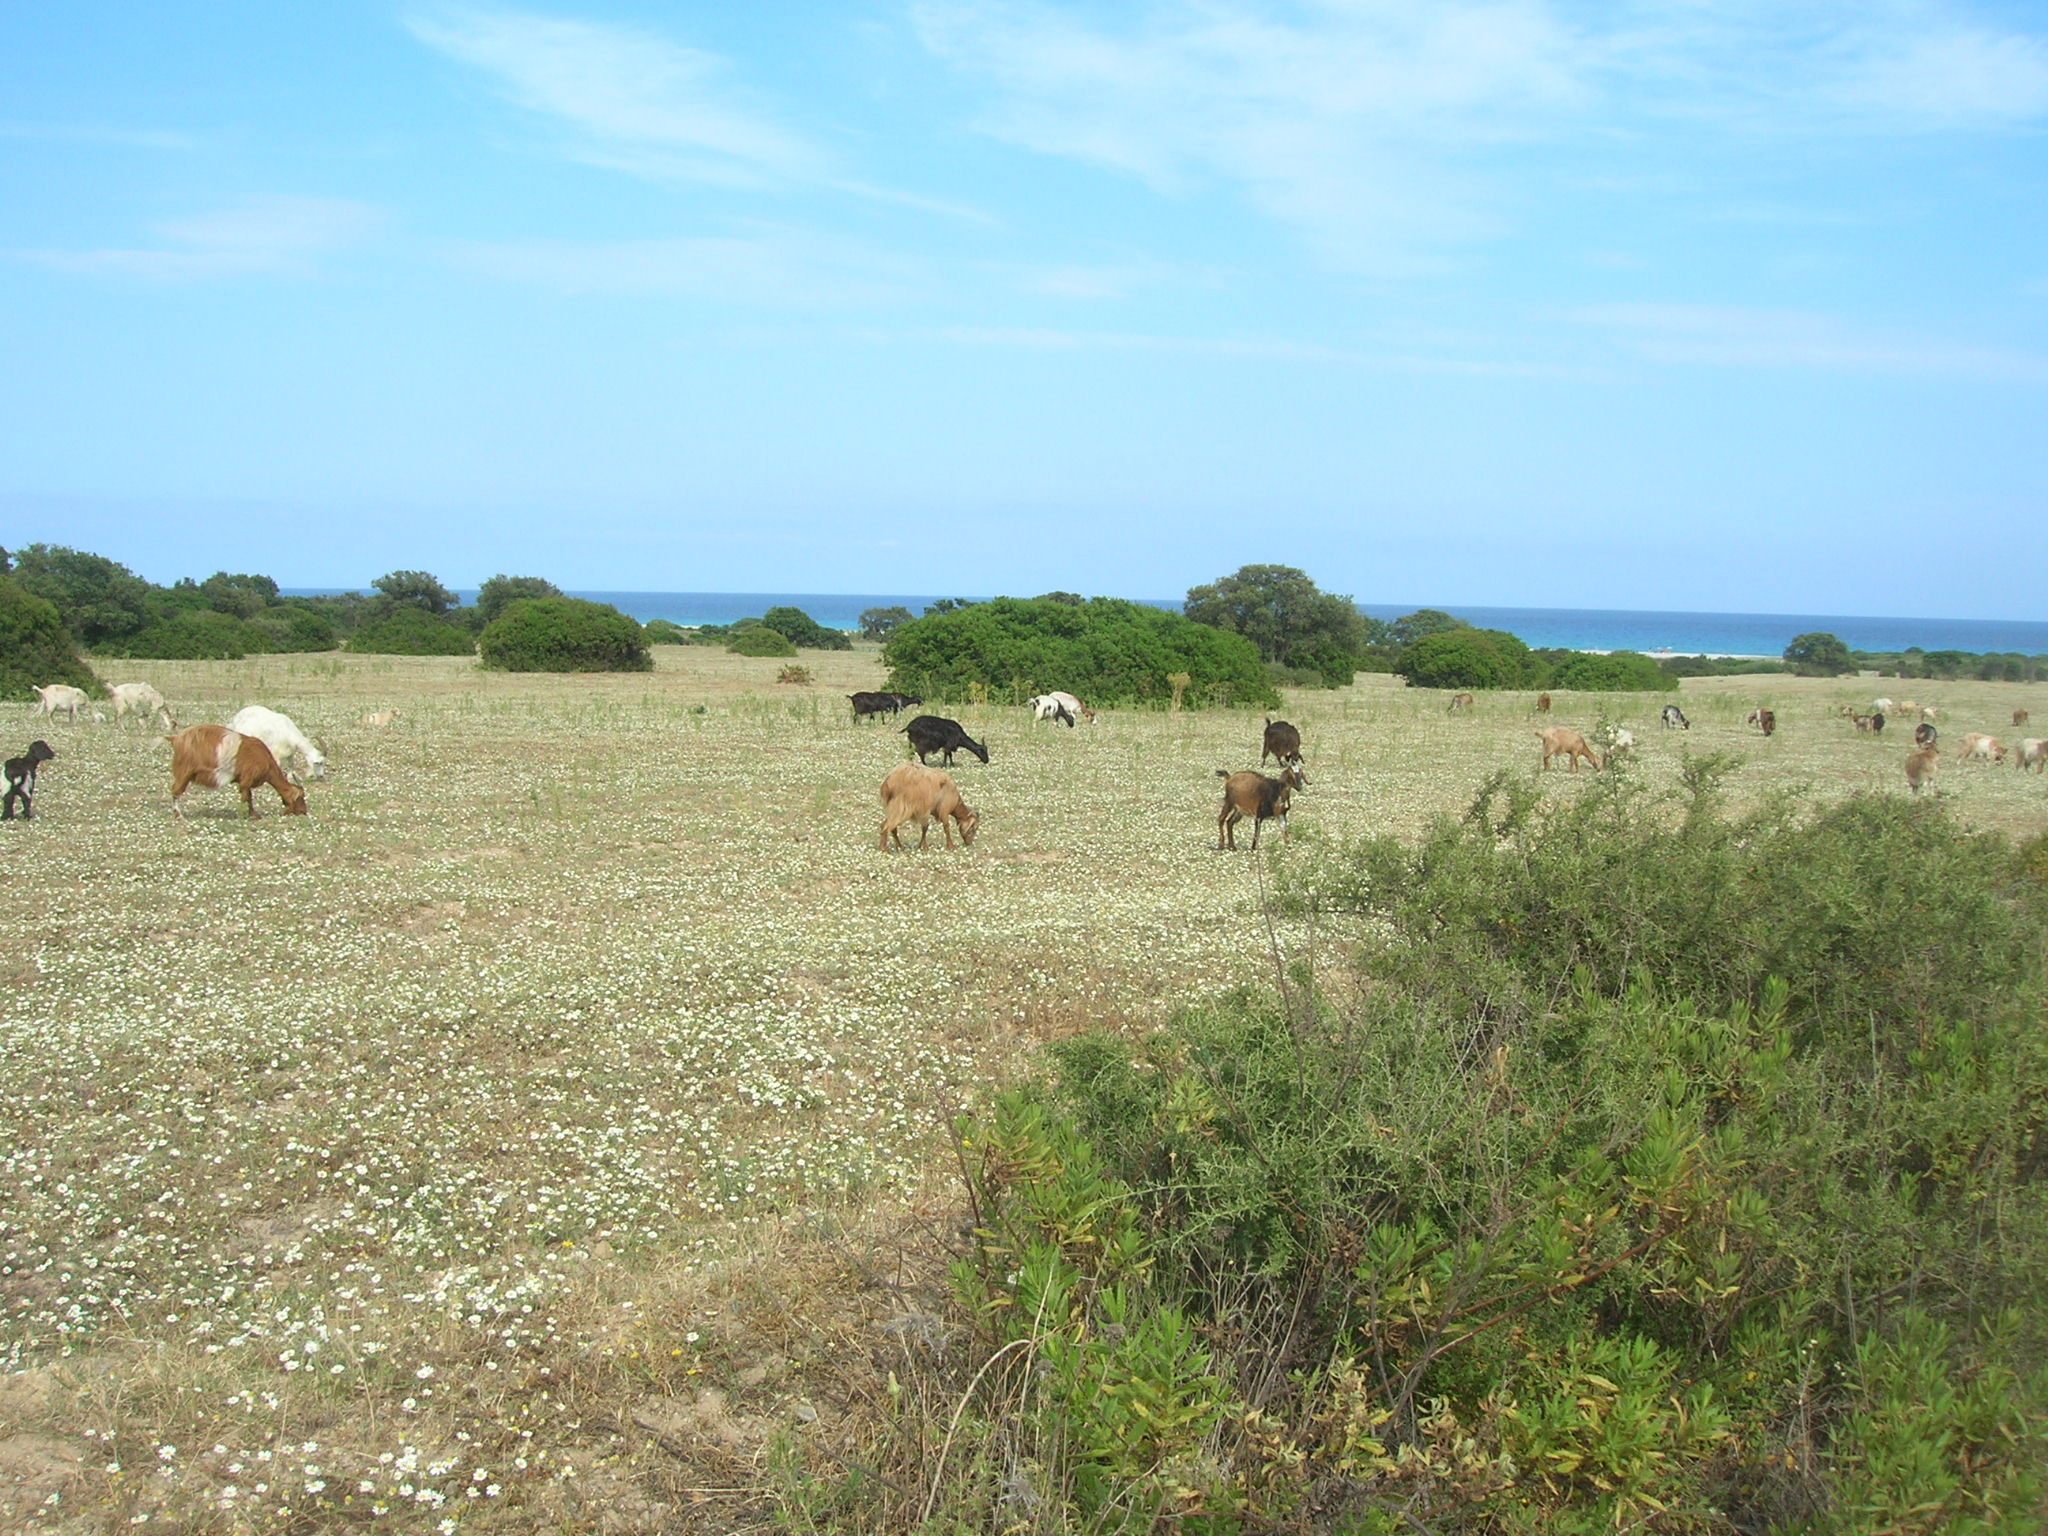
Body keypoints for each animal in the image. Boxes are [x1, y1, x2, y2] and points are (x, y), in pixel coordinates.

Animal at [166, 726, 308, 818]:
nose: (304, 811)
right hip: (184, 772)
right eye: (301, 797)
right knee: (176, 791)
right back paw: (178, 815)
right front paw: (246, 815)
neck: (267, 762)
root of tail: (176, 738)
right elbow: (246, 797)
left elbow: (249, 797)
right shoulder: (247, 779)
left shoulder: (244, 780)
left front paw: (253, 814)